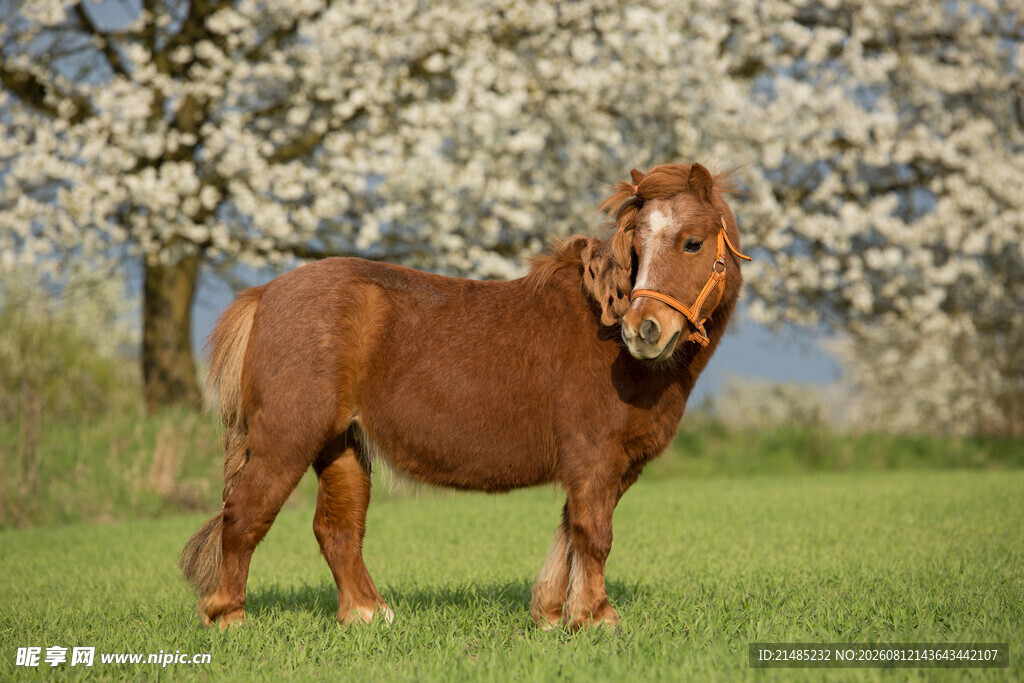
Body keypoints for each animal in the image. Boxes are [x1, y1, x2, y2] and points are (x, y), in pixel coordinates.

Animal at [180, 162, 750, 630]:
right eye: (637, 249)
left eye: (692, 242)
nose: (643, 330)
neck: (603, 330)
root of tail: (266, 293)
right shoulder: (593, 459)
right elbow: (593, 533)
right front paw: (594, 618)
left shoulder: (611, 466)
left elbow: (571, 532)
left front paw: (553, 614)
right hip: (286, 441)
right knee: (245, 515)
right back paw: (228, 616)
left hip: (339, 445)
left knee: (336, 530)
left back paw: (367, 613)